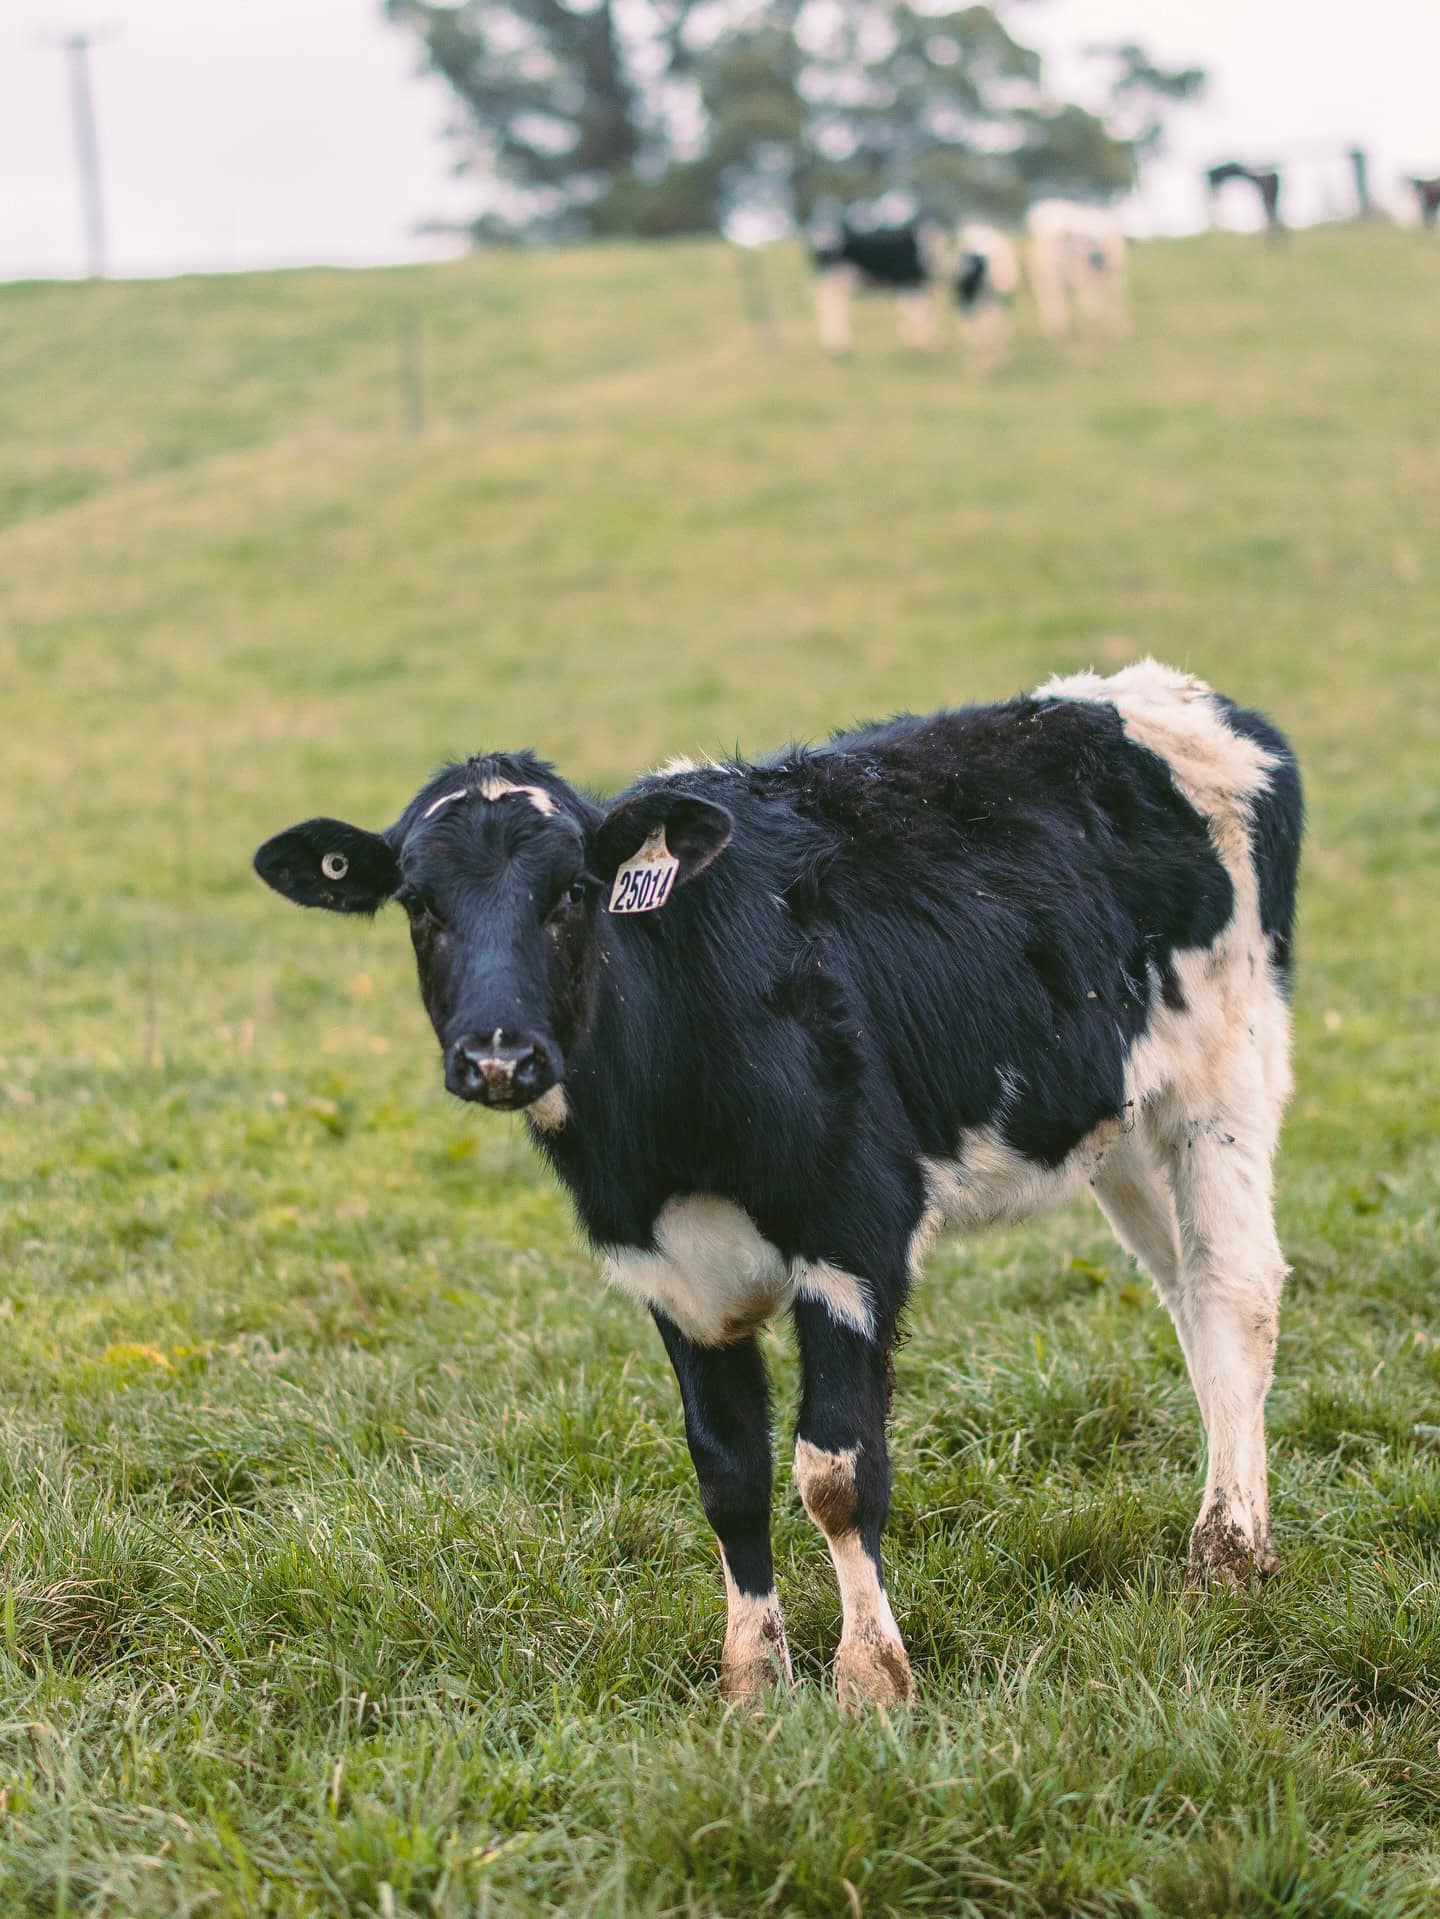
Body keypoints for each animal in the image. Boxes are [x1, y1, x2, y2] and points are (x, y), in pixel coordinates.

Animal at [254, 661, 1303, 1709]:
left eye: (574, 890)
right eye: (419, 903)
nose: (499, 1056)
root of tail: (1154, 691)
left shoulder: (855, 1230)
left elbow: (837, 1471)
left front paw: (871, 1676)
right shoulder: (670, 1272)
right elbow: (728, 1474)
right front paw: (753, 1679)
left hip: (1224, 1078)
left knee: (1234, 1290)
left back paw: (1226, 1553)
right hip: (1118, 1125)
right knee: (1185, 1296)